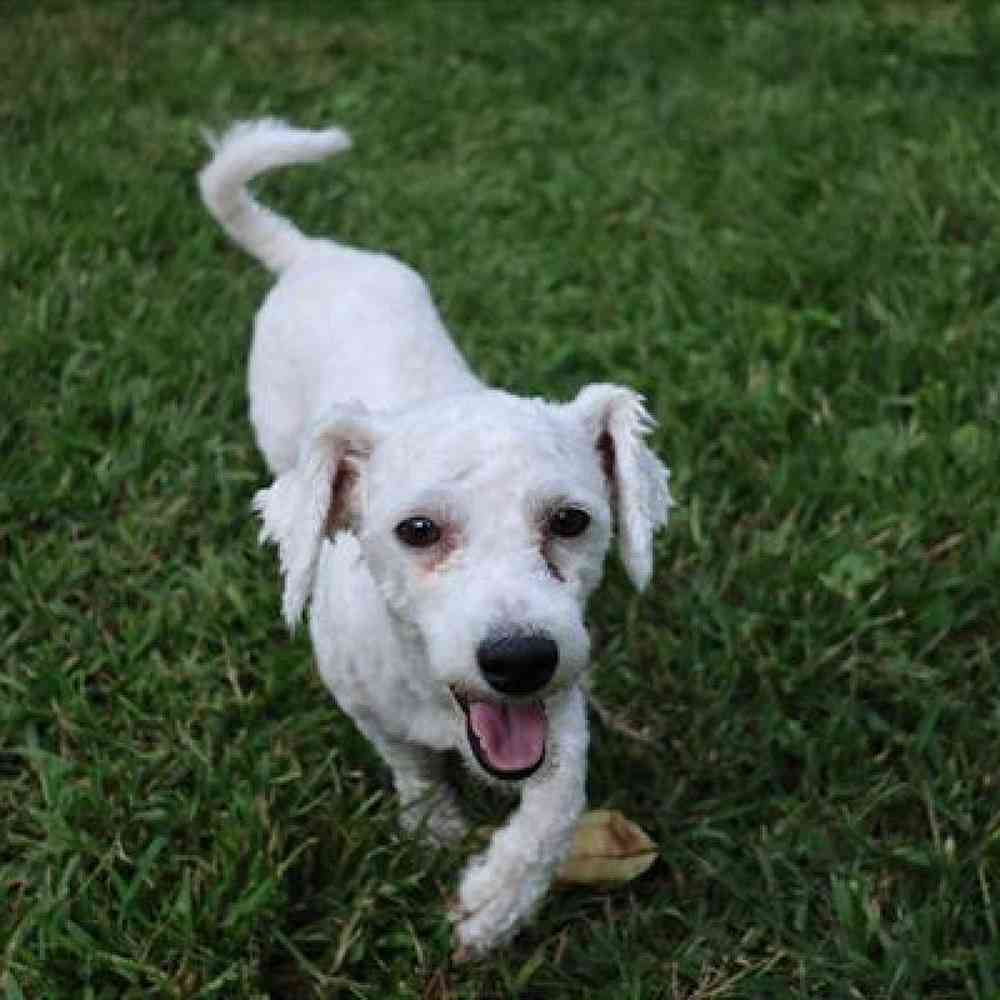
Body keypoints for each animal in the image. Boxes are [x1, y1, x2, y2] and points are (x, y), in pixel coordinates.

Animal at [198, 119, 671, 958]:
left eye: (571, 521)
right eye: (416, 531)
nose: (519, 660)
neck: (431, 690)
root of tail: (312, 253)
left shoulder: (561, 709)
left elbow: (556, 803)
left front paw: (495, 901)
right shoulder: (366, 706)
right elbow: (411, 767)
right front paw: (434, 827)